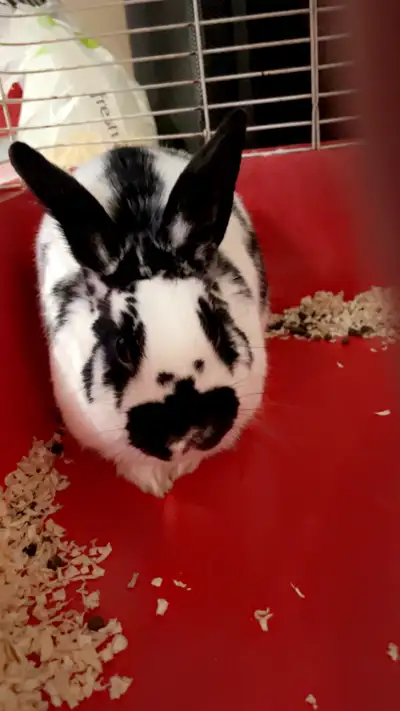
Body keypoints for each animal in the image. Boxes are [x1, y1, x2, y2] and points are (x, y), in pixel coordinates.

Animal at [9, 109, 268, 497]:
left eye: (218, 327)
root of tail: (126, 149)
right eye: (123, 347)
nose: (190, 427)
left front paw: (183, 468)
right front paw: (153, 484)